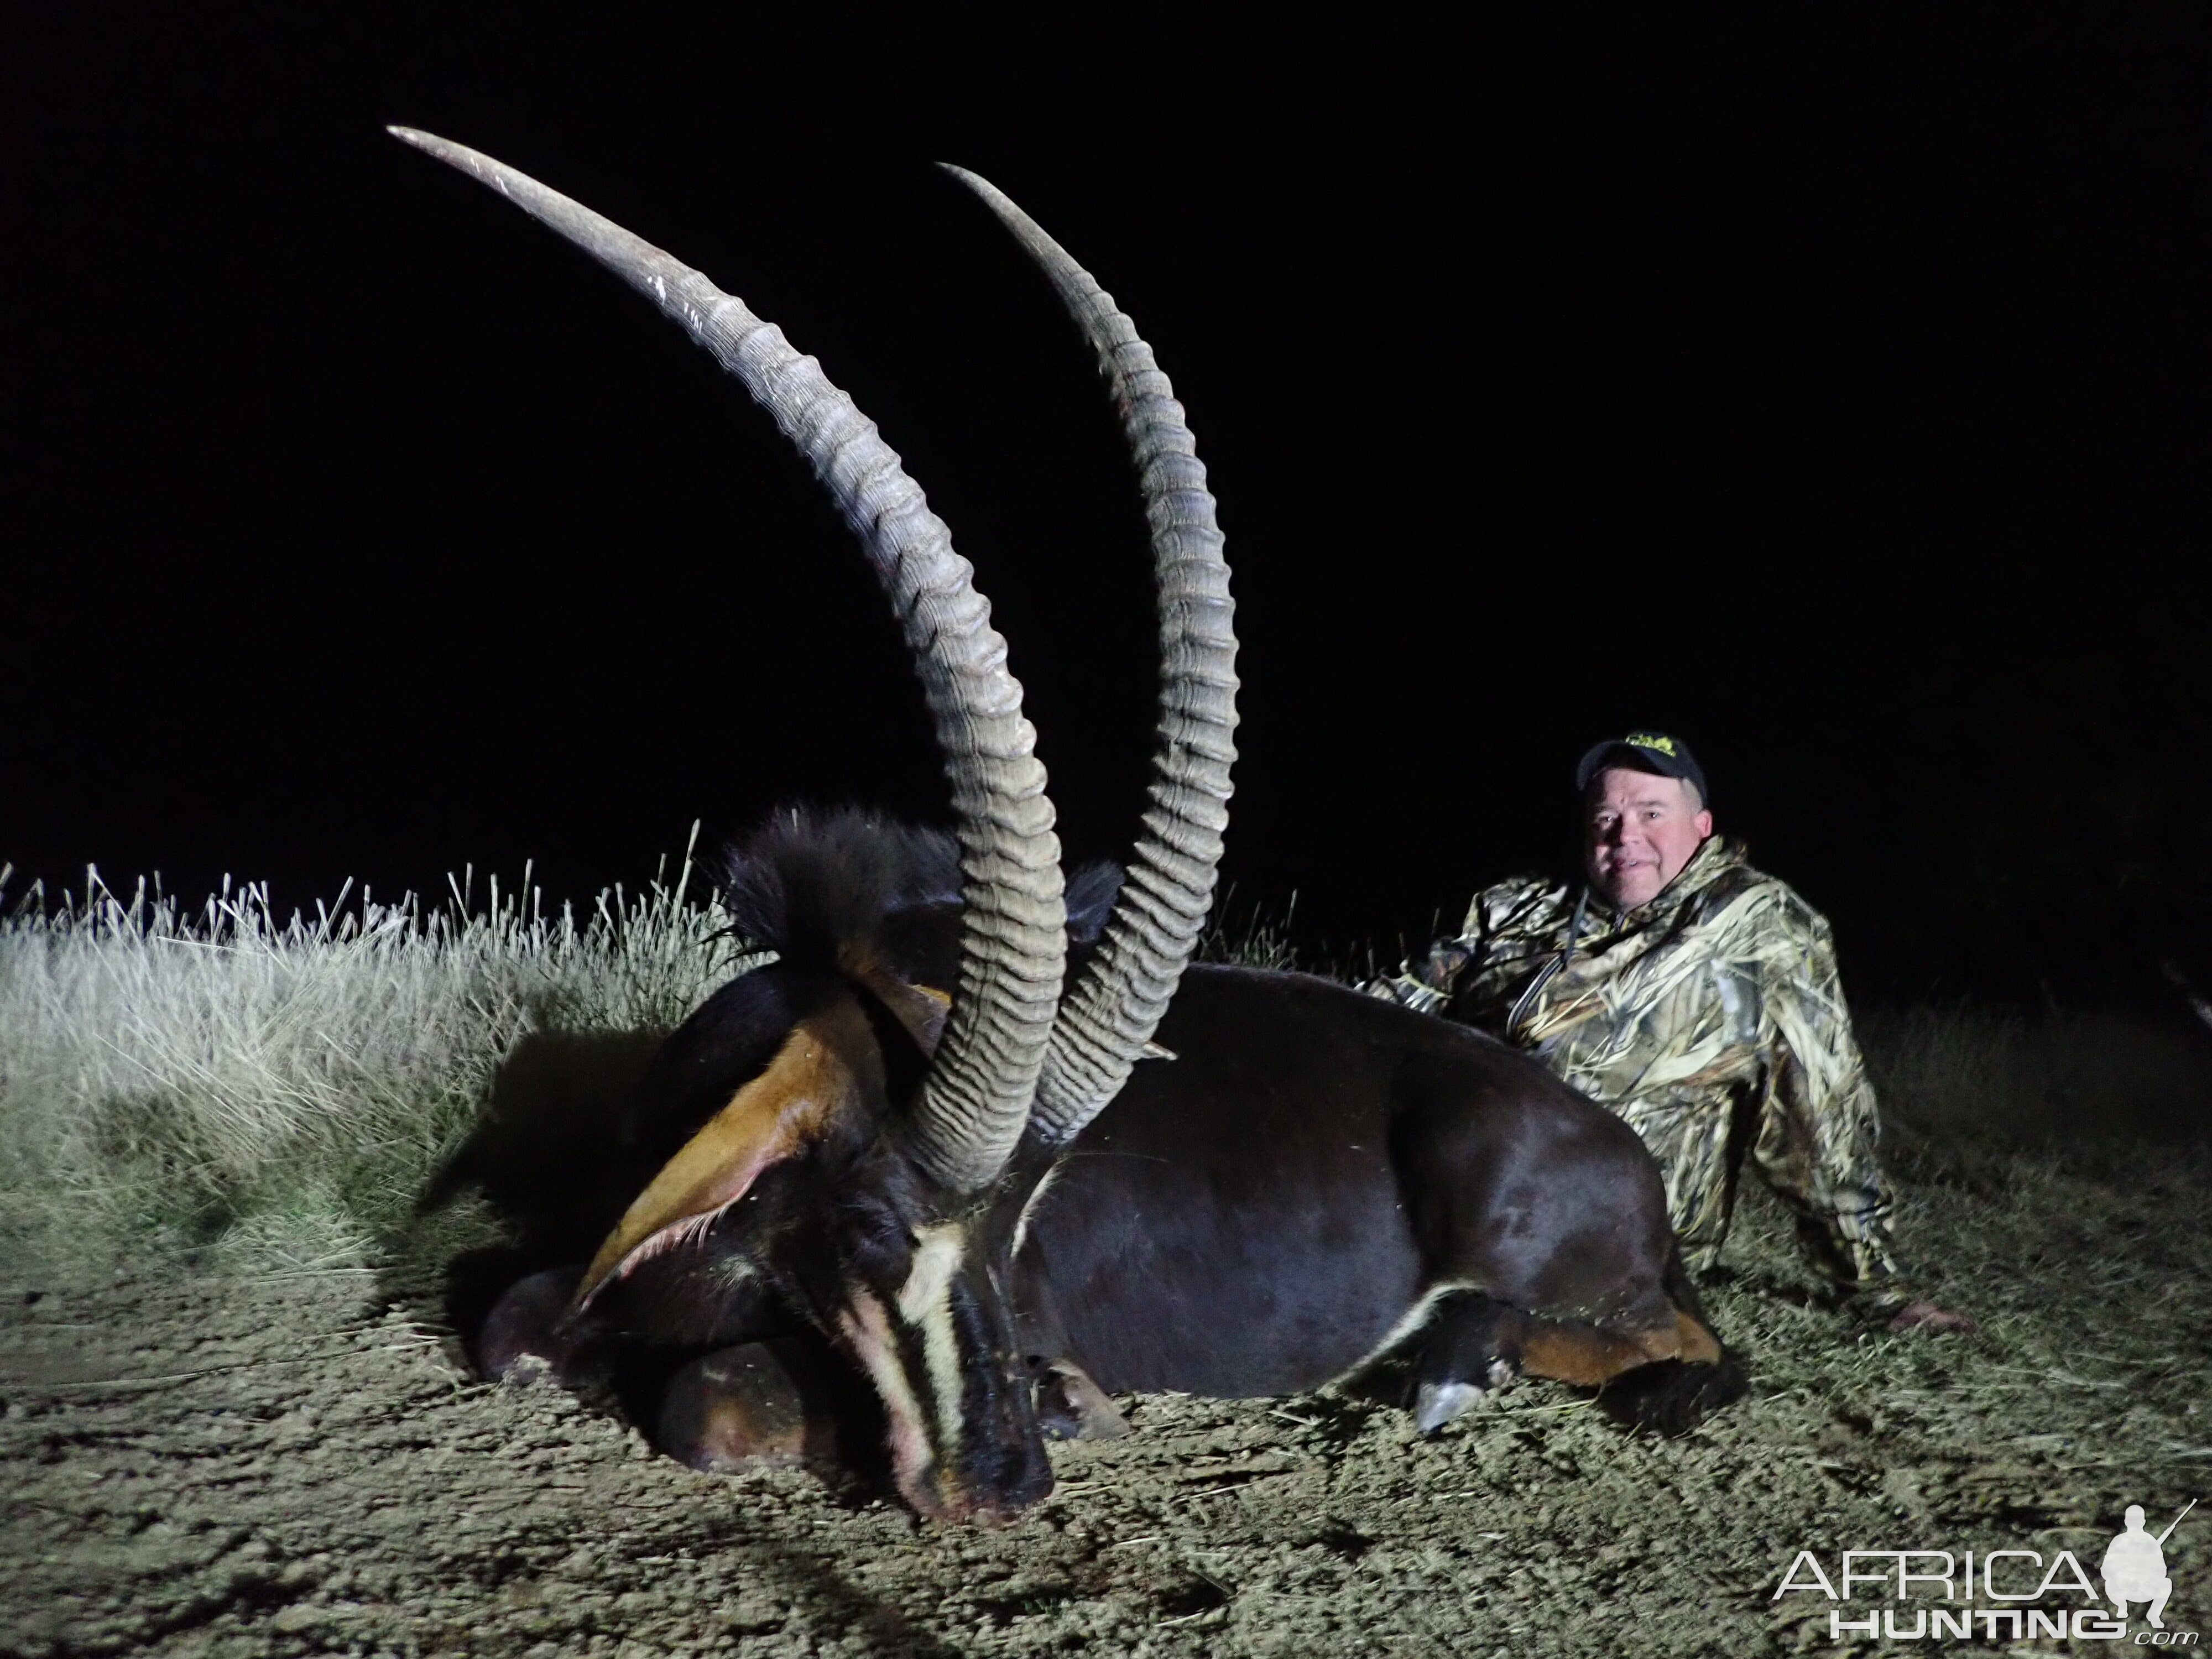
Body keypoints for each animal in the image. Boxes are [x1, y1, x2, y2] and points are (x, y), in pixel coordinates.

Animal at [403, 130, 1743, 1531]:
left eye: (1019, 1225)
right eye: (872, 1225)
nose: (1004, 1482)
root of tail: (1628, 1161)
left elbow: (706, 1399)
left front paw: (1056, 1400)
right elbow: (506, 1324)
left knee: (1666, 1343)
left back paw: (1458, 1371)